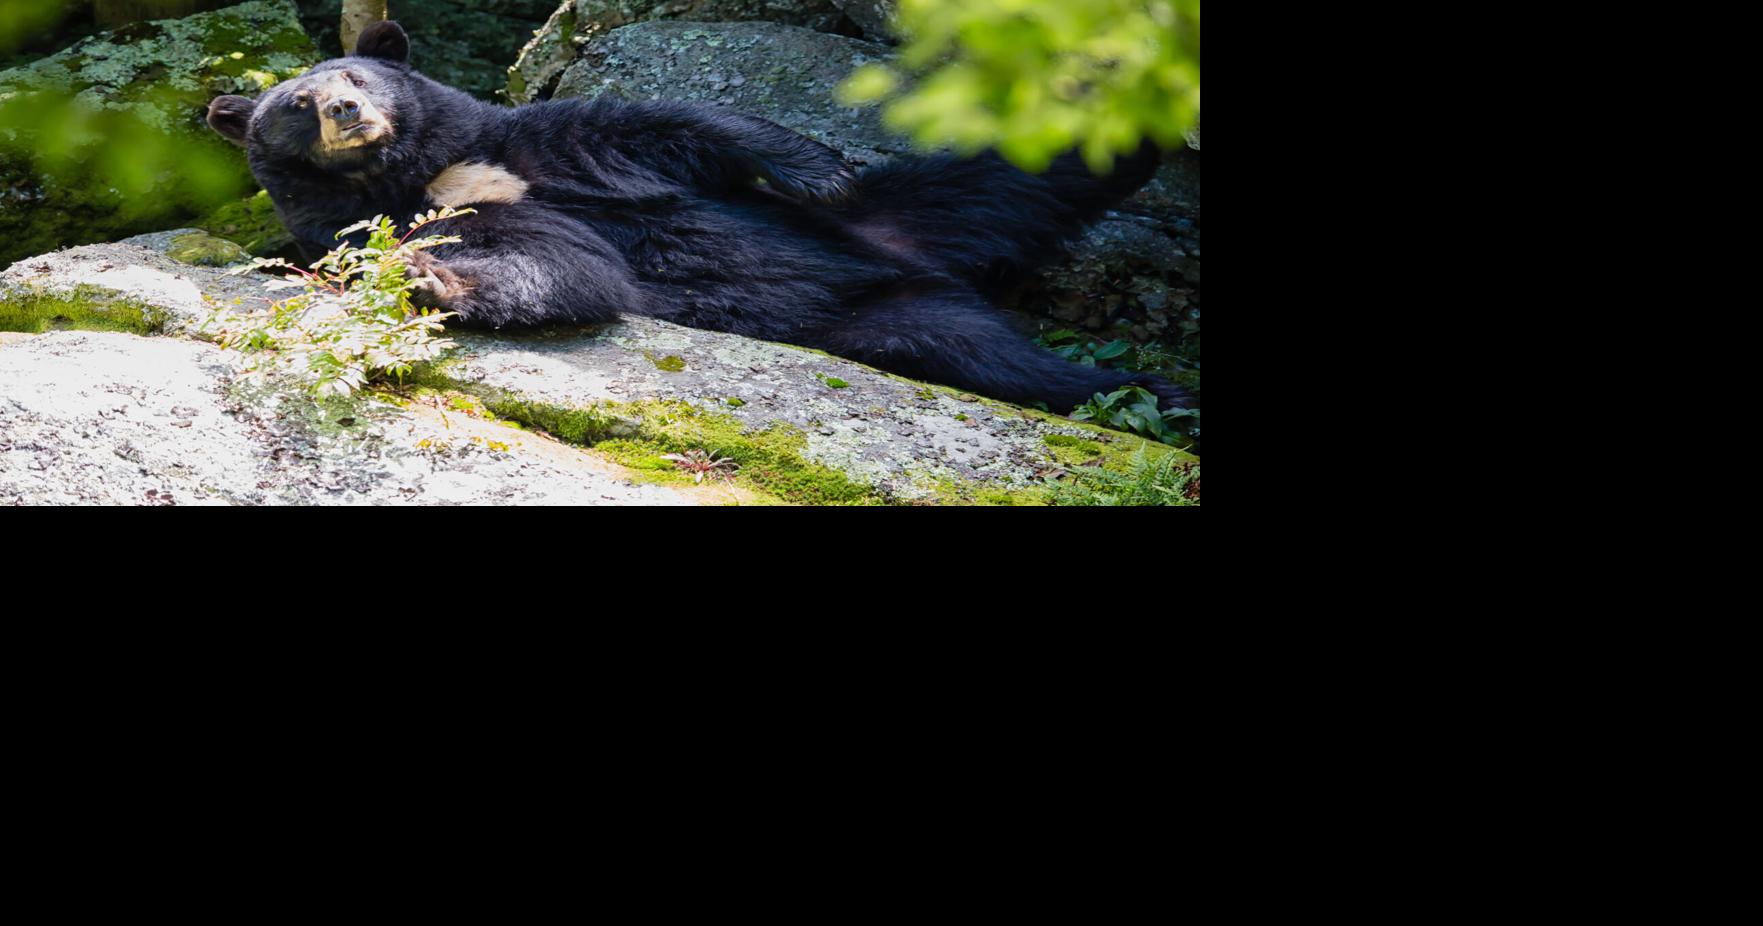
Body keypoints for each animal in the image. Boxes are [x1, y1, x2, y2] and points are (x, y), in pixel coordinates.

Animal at [205, 21, 1187, 413]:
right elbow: (559, 263)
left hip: (913, 198)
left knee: (1034, 162)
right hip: (895, 322)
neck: (429, 171)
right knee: (994, 351)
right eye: (294, 105)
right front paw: (431, 276)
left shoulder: (538, 141)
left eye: (356, 75)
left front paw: (817, 170)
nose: (344, 110)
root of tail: (908, 261)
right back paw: (1149, 388)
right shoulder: (438, 213)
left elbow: (672, 126)